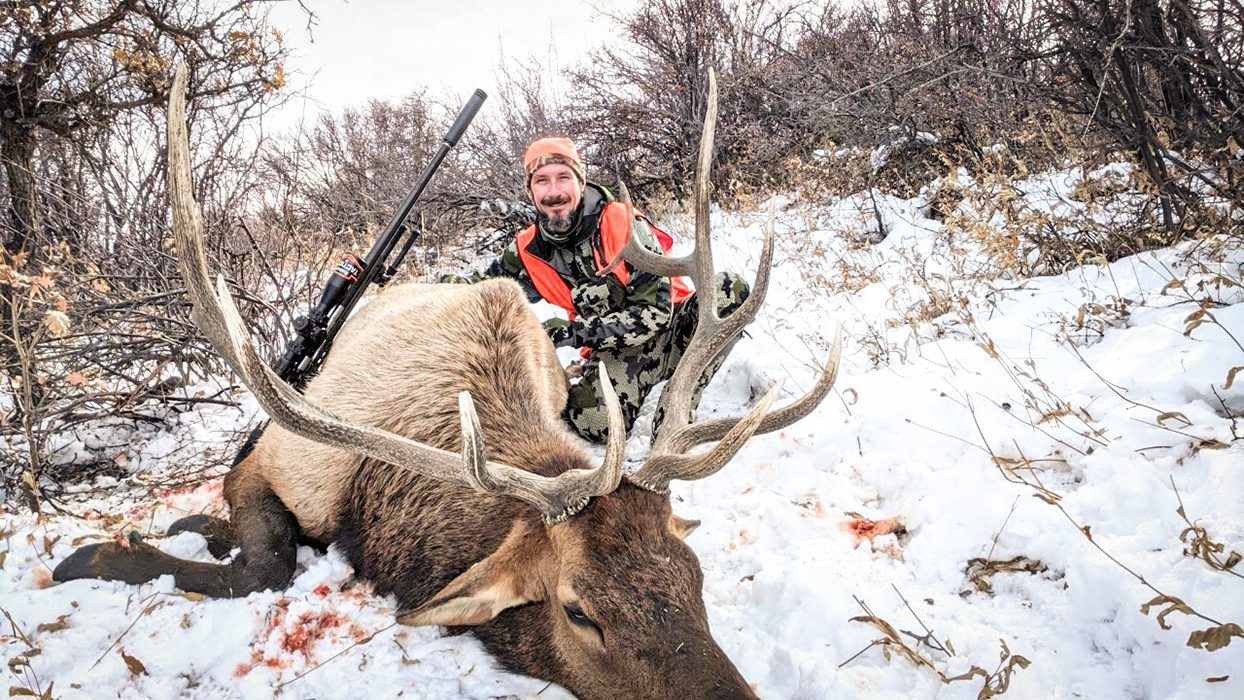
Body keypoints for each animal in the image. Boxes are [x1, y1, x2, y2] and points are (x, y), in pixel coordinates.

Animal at [52, 65, 841, 700]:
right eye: (580, 610)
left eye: (694, 575)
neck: (376, 510)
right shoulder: (278, 461)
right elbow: (264, 564)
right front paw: (97, 553)